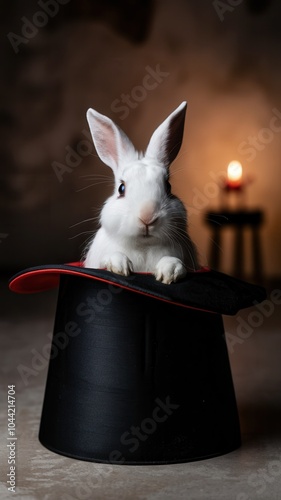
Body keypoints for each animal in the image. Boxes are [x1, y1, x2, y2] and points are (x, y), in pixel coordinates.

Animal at [82, 101, 197, 284]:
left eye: (168, 186)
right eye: (121, 188)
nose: (147, 216)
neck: (144, 245)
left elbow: (173, 261)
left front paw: (169, 272)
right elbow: (111, 257)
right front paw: (120, 266)